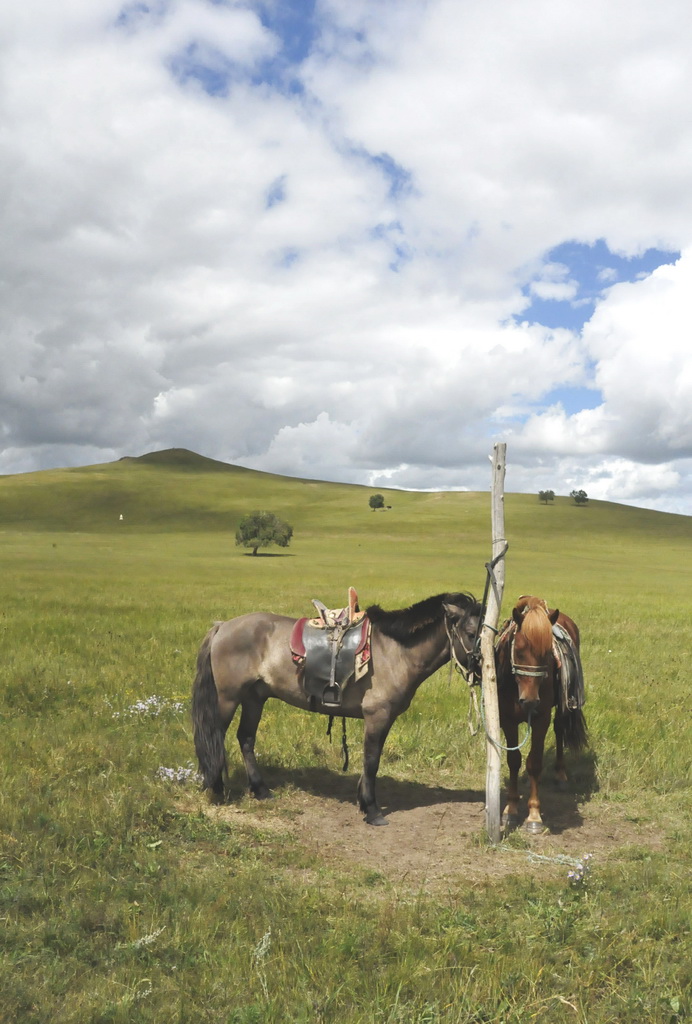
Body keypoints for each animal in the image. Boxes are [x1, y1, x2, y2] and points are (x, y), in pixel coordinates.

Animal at [190, 593, 481, 823]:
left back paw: (261, 790)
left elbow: (371, 760)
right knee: (215, 737)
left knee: (246, 739)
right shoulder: (377, 717)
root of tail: (223, 626)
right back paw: (217, 788)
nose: (482, 672)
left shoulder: (383, 720)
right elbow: (371, 760)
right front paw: (372, 810)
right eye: (470, 634)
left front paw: (363, 801)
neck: (395, 652)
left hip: (254, 698)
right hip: (227, 699)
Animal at [495, 598, 585, 831]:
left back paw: (560, 775)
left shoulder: (540, 719)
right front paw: (511, 810)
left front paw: (534, 815)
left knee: (560, 729)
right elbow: (514, 760)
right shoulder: (507, 720)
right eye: (518, 650)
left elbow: (534, 763)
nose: (529, 701)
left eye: (547, 653)